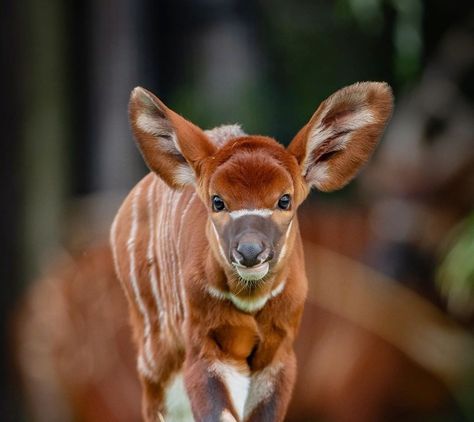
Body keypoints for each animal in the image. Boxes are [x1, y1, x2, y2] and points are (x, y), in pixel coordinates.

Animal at [110, 81, 392, 420]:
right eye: (218, 201)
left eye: (284, 199)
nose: (249, 251)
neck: (250, 299)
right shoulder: (206, 346)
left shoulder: (278, 352)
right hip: (154, 353)